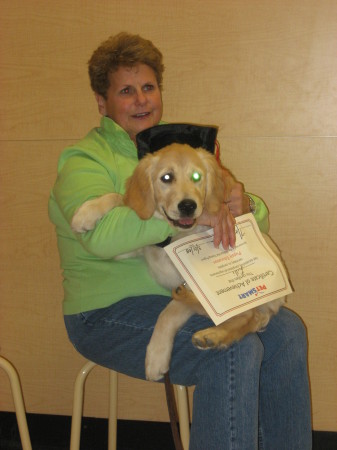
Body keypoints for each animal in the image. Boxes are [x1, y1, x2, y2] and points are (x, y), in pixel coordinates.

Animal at [71, 143, 284, 380]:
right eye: (166, 177)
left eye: (196, 176)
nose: (188, 206)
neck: (174, 237)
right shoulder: (126, 251)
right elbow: (119, 198)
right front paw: (86, 213)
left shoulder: (190, 281)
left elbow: (167, 314)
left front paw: (155, 357)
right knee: (251, 318)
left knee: (248, 315)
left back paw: (211, 332)